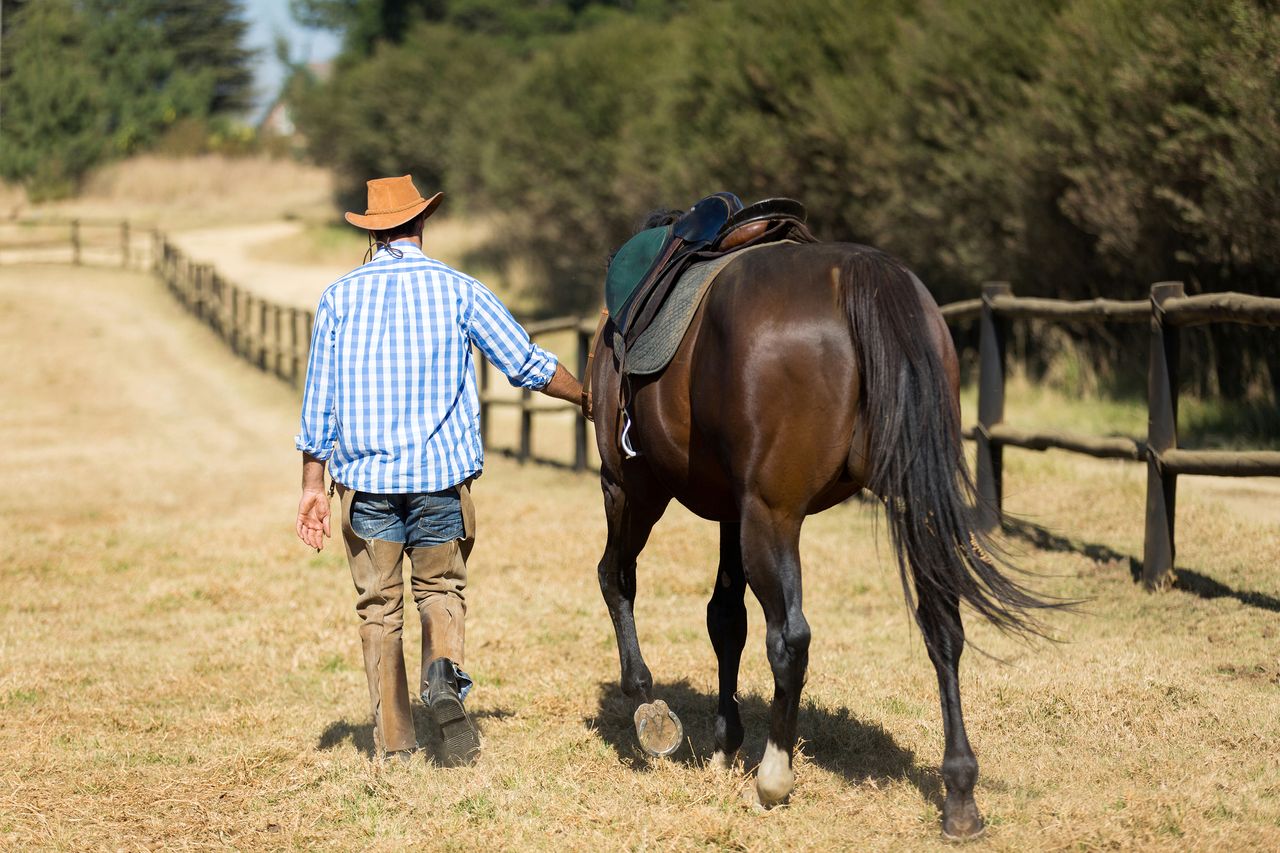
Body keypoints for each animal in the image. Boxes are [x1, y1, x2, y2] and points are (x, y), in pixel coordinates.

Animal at [588, 208, 1059, 835]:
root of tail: (860, 276)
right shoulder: (732, 508)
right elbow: (725, 619)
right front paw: (723, 742)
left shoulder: (637, 488)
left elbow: (626, 582)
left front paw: (651, 709)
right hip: (909, 507)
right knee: (943, 625)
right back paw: (960, 794)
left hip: (752, 512)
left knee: (786, 636)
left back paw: (774, 775)